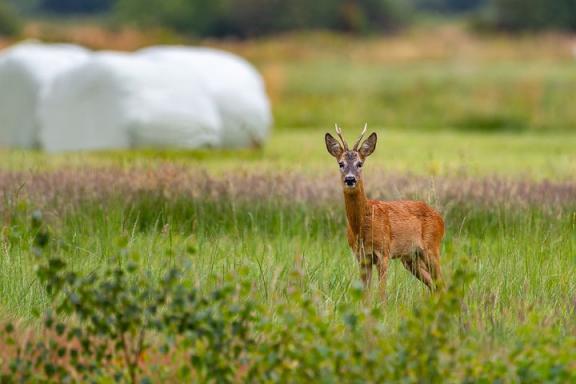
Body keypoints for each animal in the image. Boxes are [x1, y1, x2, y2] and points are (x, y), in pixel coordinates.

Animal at [324, 124, 446, 298]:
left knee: (442, 282)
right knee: (434, 285)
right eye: (341, 163)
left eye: (360, 163)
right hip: (410, 258)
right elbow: (366, 294)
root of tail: (440, 218)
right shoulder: (362, 257)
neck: (362, 225)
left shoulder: (384, 253)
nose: (350, 179)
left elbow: (382, 293)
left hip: (432, 247)